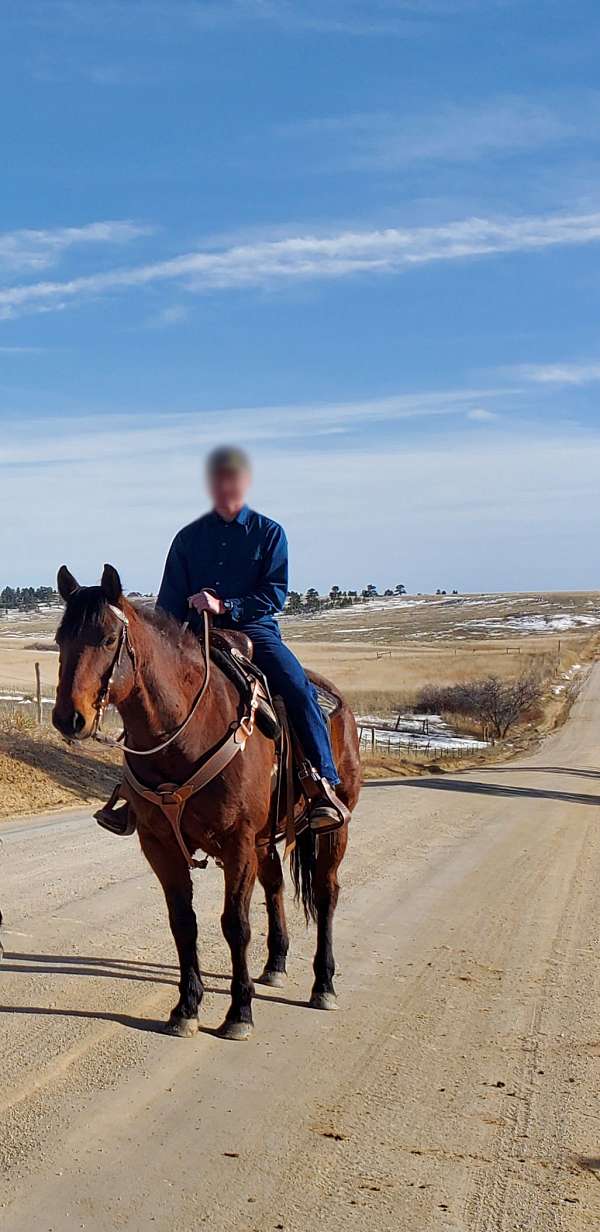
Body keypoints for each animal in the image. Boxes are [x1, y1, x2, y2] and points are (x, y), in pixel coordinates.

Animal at [52, 566, 362, 1039]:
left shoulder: (236, 843)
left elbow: (235, 924)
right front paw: (187, 1007)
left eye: (106, 639)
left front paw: (239, 1013)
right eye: (59, 639)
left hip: (334, 829)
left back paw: (323, 984)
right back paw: (275, 964)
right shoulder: (160, 844)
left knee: (327, 893)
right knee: (275, 886)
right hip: (264, 840)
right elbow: (184, 923)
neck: (184, 733)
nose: (69, 718)